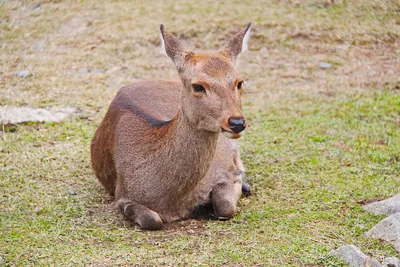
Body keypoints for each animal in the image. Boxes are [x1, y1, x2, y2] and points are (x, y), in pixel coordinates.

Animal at [91, 23, 253, 230]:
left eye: (240, 82)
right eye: (198, 86)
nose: (237, 122)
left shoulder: (220, 172)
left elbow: (226, 207)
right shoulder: (122, 194)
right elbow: (152, 220)